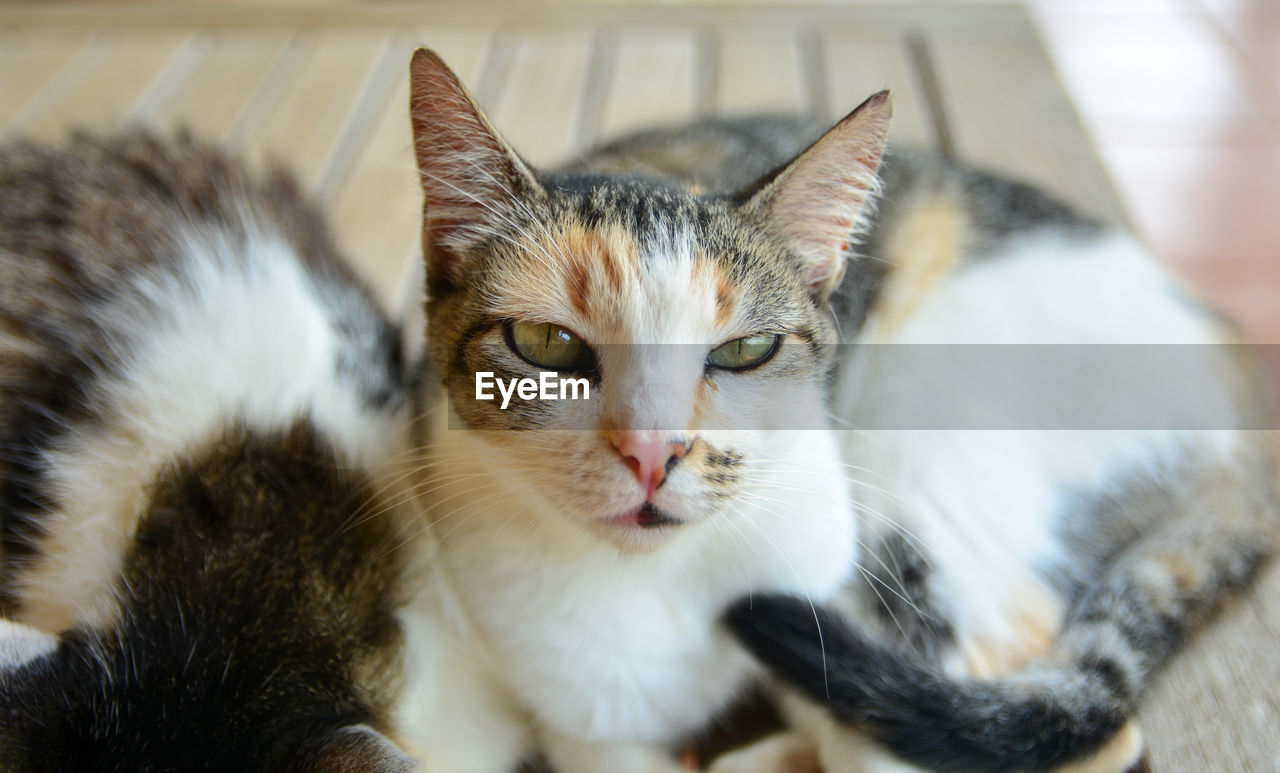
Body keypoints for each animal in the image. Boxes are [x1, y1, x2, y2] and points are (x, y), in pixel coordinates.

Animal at [407, 48, 1280, 773]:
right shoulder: (580, 721)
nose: (653, 452)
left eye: (746, 349)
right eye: (545, 343)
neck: (659, 581)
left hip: (921, 427)